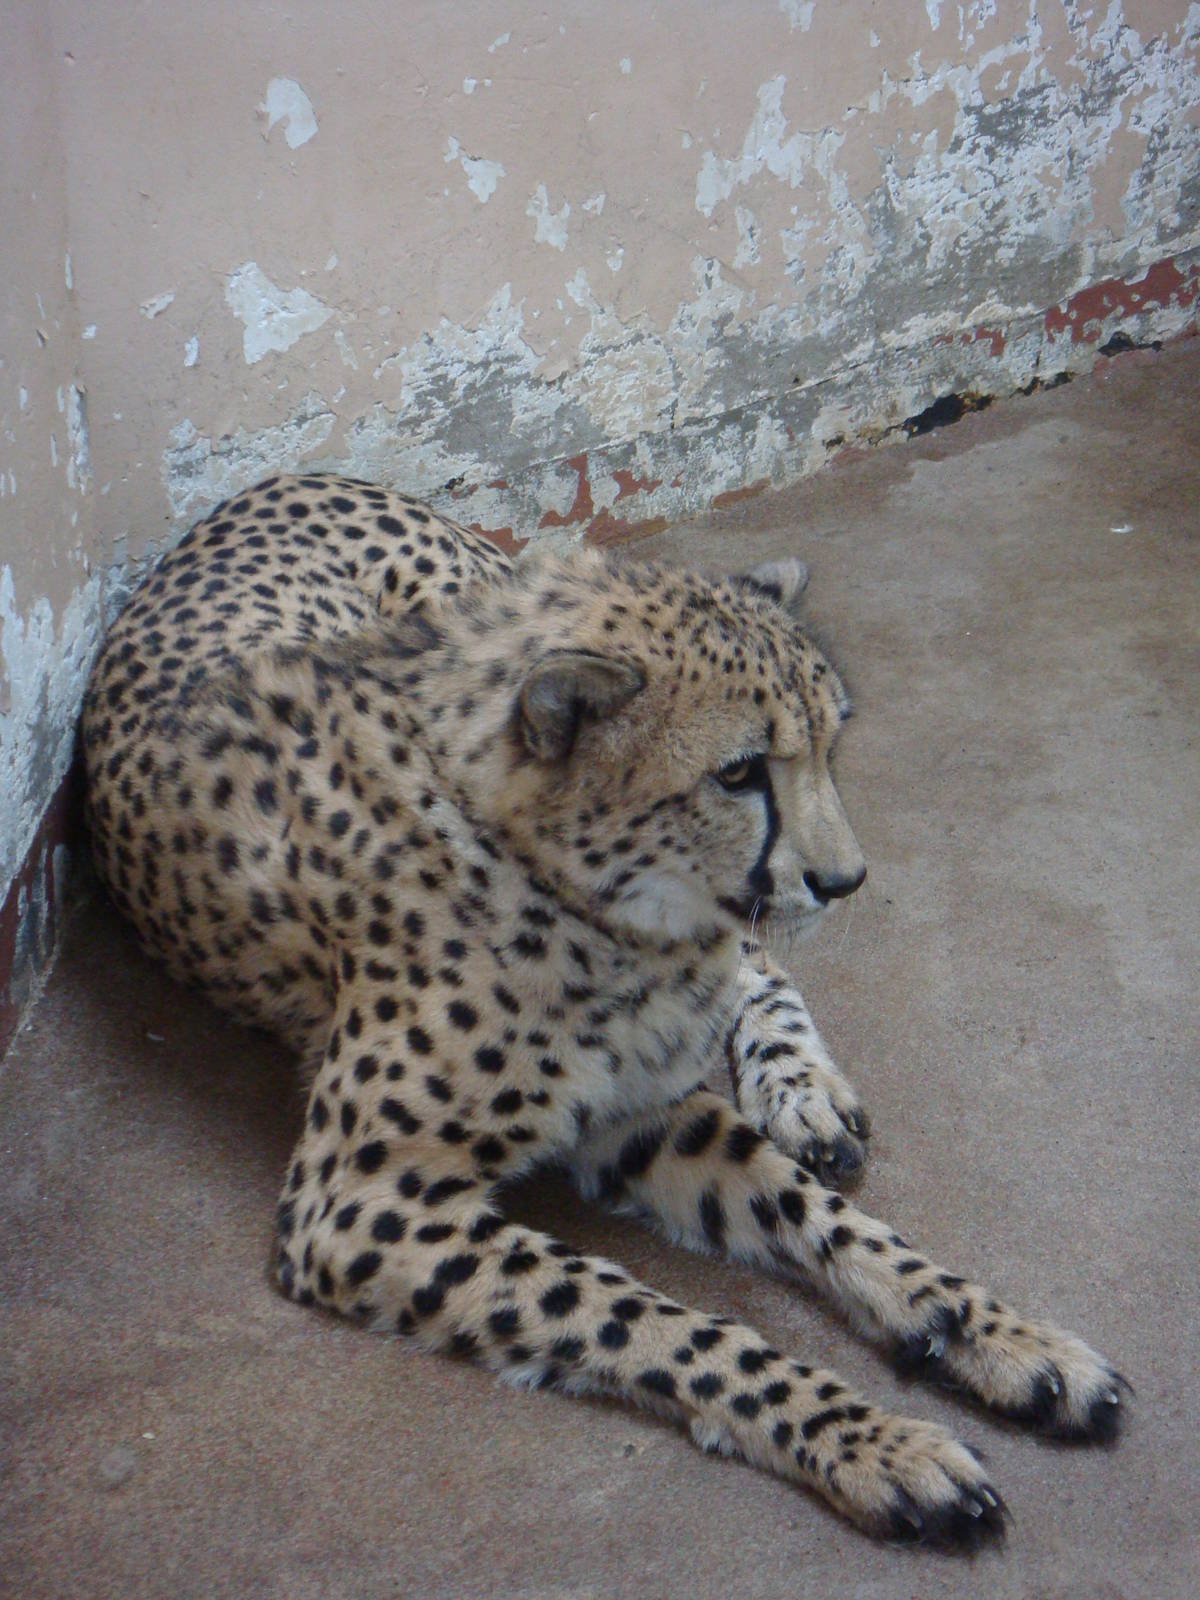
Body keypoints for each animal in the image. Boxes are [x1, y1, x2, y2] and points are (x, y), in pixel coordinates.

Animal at [81, 470, 1126, 1550]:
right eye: (739, 772)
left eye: (832, 745)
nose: (846, 880)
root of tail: (287, 475)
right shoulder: (362, 1204)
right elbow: (660, 1319)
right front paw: (874, 1441)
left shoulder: (634, 1102)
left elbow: (817, 1210)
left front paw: (997, 1331)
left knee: (756, 965)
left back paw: (803, 1090)